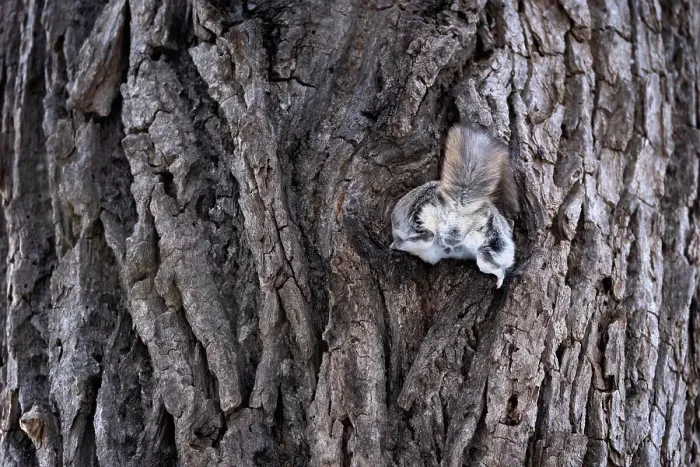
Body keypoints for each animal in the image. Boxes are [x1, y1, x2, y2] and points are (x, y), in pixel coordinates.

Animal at [390, 125, 518, 288]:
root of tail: (457, 211)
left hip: (420, 218)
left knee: (424, 237)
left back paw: (396, 244)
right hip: (489, 248)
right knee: (489, 262)